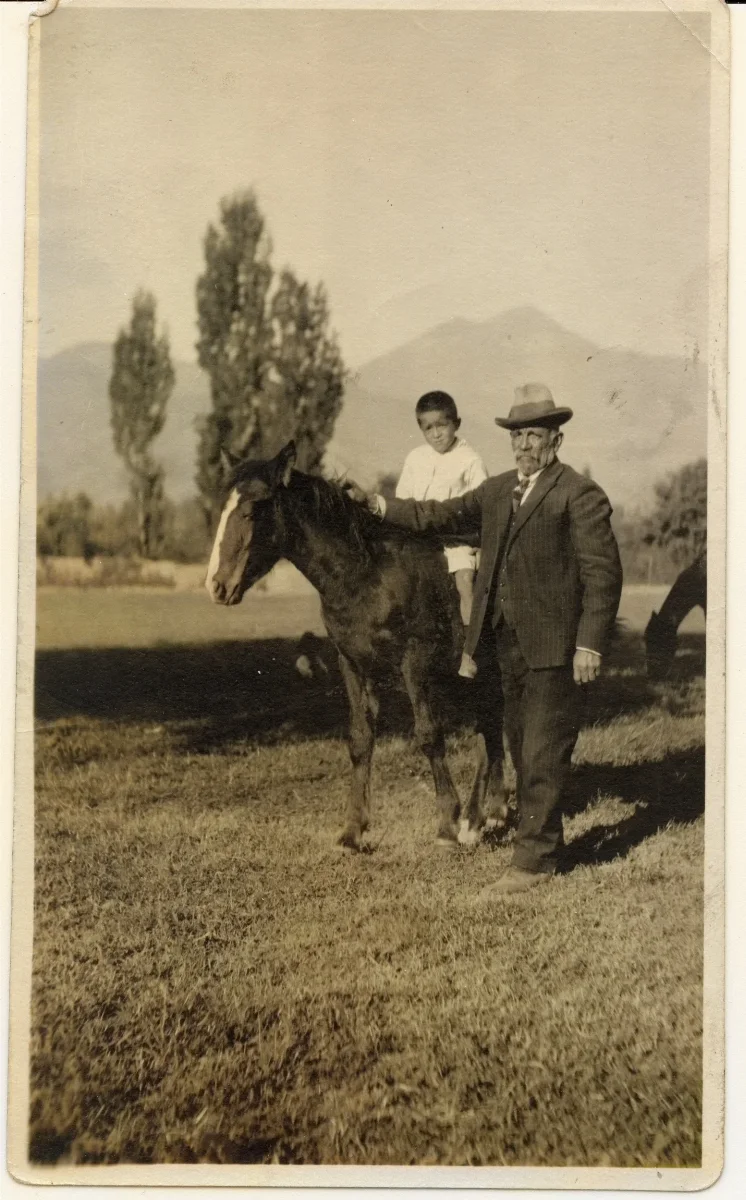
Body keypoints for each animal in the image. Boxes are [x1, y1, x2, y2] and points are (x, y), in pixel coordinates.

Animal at [205, 441, 507, 850]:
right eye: (223, 509)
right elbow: (360, 738)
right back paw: (494, 812)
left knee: (491, 728)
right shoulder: (352, 662)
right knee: (491, 729)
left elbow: (429, 735)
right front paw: (353, 830)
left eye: (251, 511)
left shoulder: (415, 662)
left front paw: (447, 823)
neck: (366, 572)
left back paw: (475, 818)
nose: (216, 586)